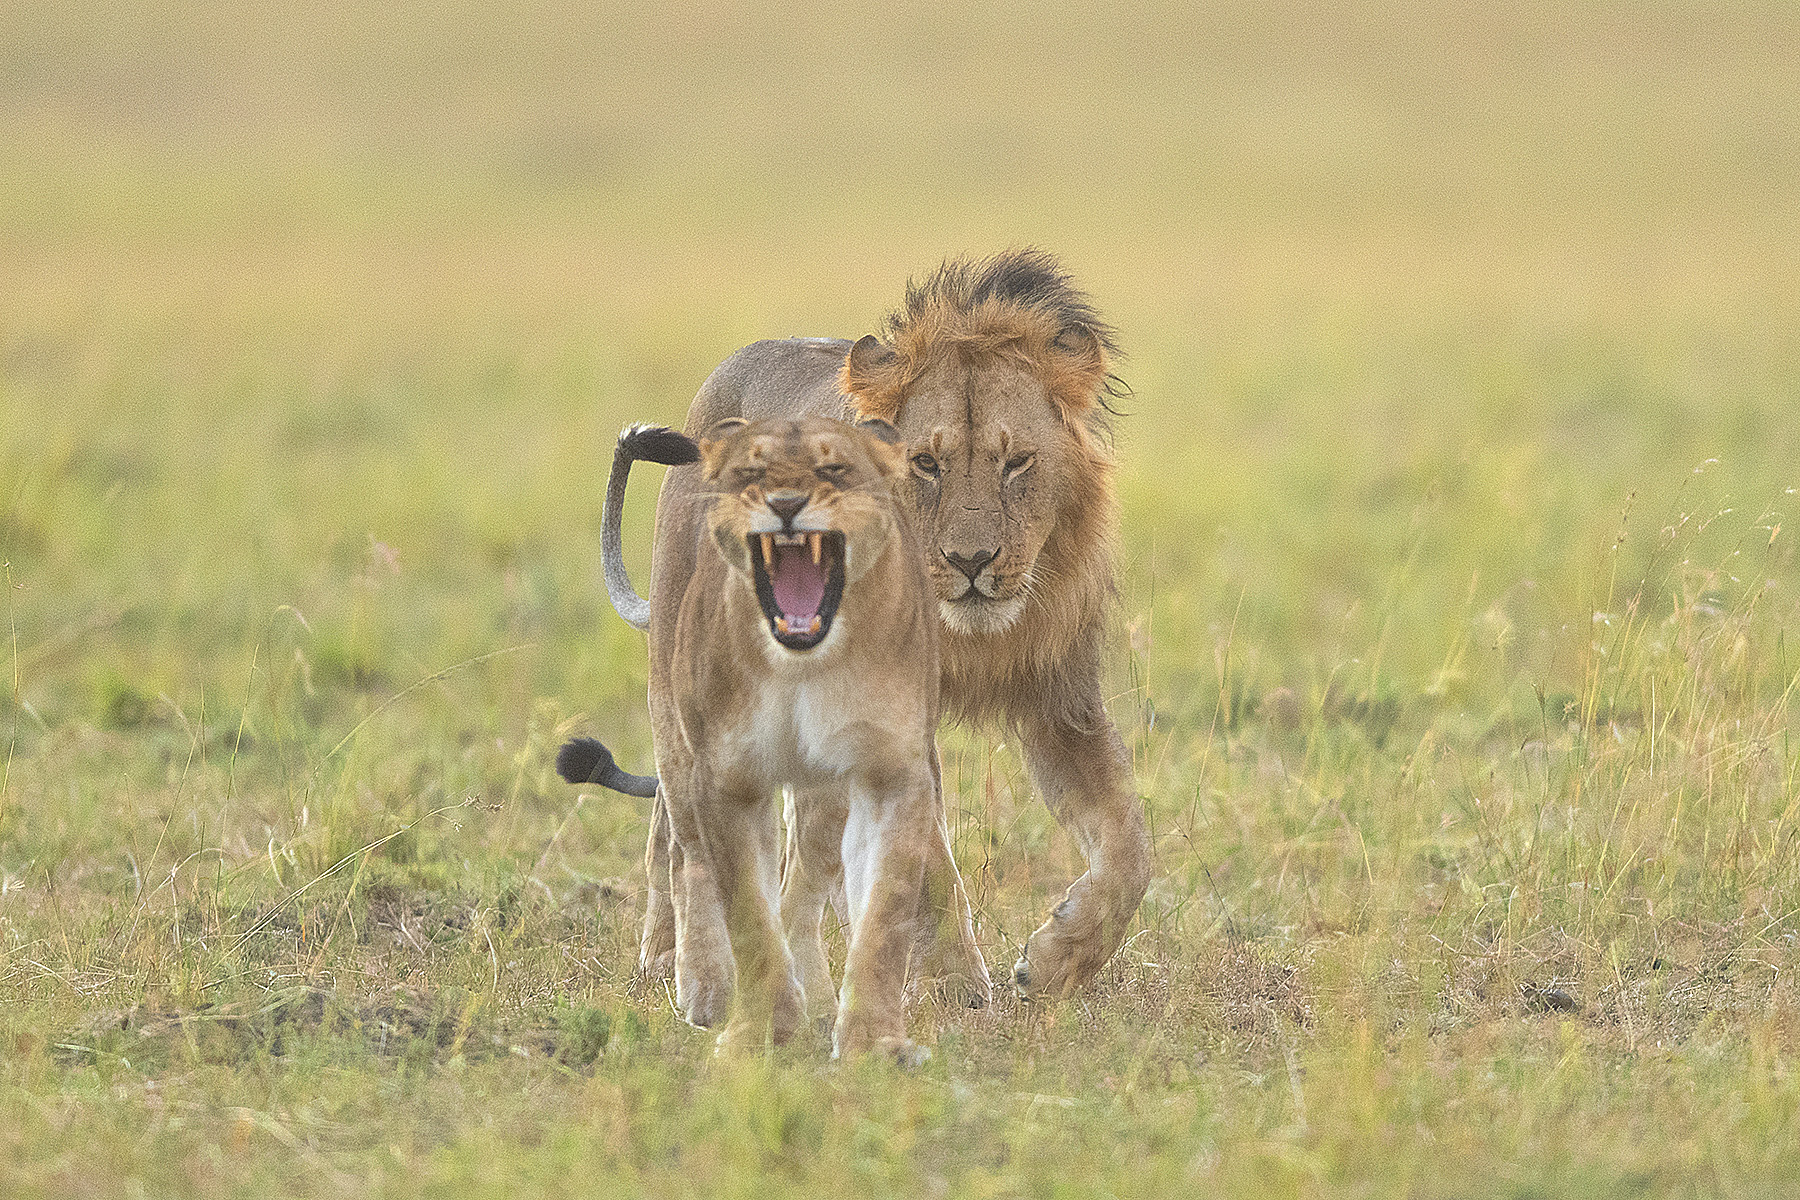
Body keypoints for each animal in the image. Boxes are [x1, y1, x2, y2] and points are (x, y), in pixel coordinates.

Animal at [561, 415, 964, 1057]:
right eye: (753, 472)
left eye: (834, 469)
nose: (787, 505)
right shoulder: (727, 778)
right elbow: (746, 909)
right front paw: (762, 1031)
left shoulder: (888, 772)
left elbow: (879, 913)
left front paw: (868, 1040)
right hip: (676, 738)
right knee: (685, 857)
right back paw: (703, 989)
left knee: (800, 883)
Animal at [594, 248, 1152, 1007]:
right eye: (926, 463)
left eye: (1017, 463)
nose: (971, 562)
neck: (966, 636)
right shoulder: (893, 720)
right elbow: (932, 869)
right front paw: (961, 985)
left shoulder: (1060, 700)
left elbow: (1130, 846)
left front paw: (1059, 960)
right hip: (685, 681)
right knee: (680, 829)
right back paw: (679, 966)